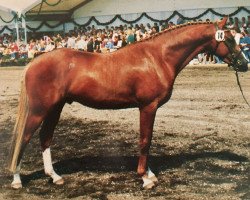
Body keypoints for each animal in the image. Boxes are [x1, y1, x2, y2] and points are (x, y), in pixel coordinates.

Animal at [8, 17, 248, 189]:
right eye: (228, 39)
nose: (244, 64)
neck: (157, 57)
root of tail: (34, 62)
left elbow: (147, 140)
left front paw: (149, 173)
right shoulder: (148, 106)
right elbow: (145, 140)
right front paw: (145, 178)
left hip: (55, 108)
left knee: (45, 137)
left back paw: (55, 176)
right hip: (39, 110)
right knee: (25, 137)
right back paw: (17, 179)